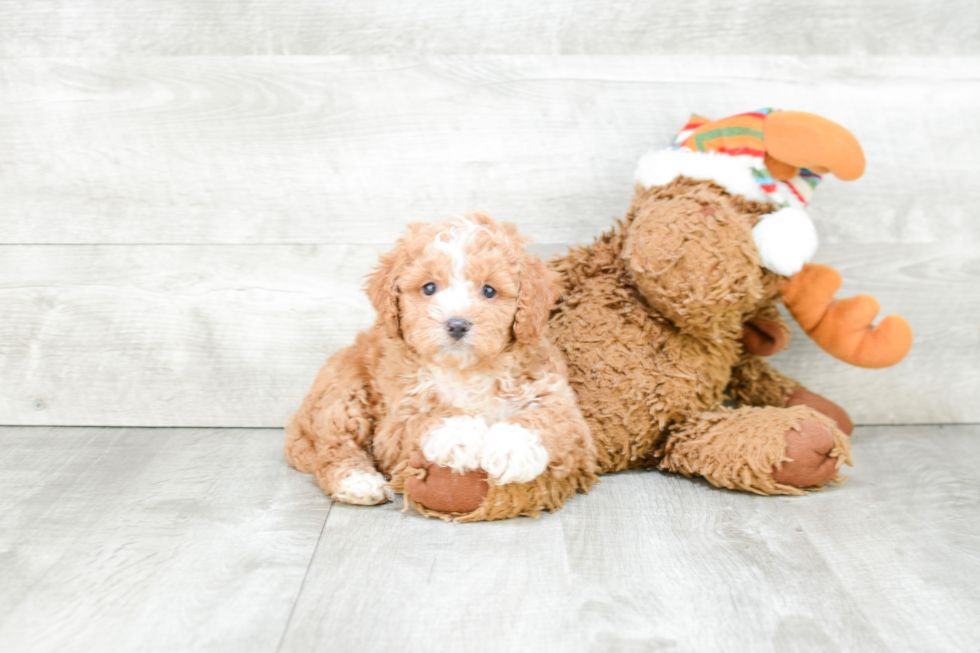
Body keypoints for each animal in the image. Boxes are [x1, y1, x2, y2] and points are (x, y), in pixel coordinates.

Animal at [284, 213, 596, 520]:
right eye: (429, 288)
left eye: (489, 290)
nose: (457, 324)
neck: (466, 370)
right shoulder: (396, 422)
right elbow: (432, 416)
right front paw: (463, 435)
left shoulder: (558, 402)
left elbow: (548, 419)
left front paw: (510, 449)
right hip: (343, 393)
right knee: (333, 449)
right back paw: (358, 483)